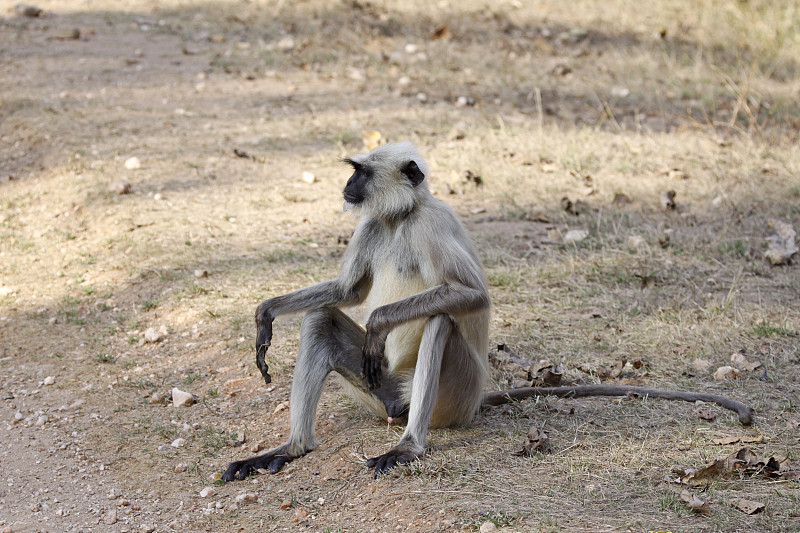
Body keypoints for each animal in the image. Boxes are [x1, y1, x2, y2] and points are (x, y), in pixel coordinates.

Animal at [222, 142, 752, 482]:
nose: (348, 185)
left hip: (452, 399)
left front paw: (378, 323)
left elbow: (472, 296)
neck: (402, 217)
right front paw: (266, 313)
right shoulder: (372, 223)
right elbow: (345, 290)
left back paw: (409, 446)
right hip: (380, 392)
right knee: (321, 318)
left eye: (363, 171)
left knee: (440, 321)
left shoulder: (434, 223)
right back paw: (293, 448)